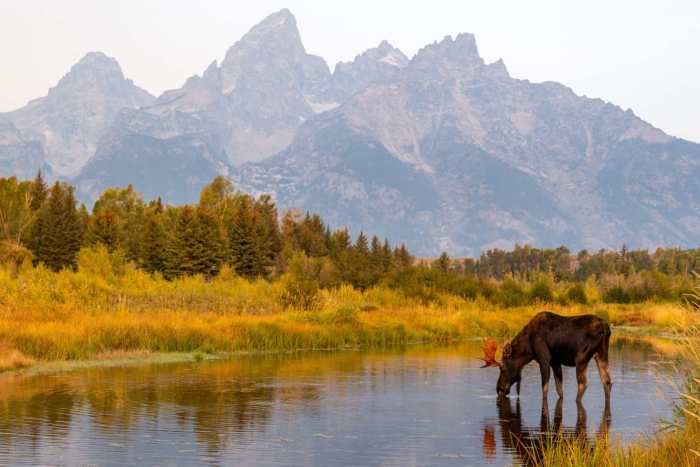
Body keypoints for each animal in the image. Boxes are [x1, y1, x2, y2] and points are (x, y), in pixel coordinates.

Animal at [478, 311, 612, 402]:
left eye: (502, 368)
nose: (499, 389)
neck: (528, 348)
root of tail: (605, 330)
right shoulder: (555, 361)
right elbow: (559, 389)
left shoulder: (544, 359)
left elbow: (545, 388)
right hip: (602, 355)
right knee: (607, 382)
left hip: (581, 358)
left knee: (583, 384)